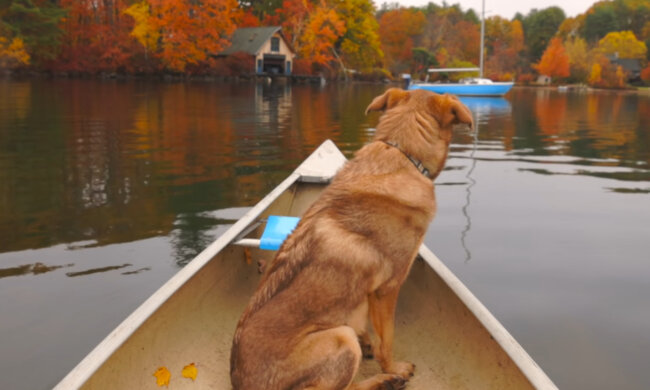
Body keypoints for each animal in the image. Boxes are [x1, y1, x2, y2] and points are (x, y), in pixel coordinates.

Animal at [229, 89, 470, 390]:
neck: (400, 151)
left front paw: (368, 340)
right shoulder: (387, 289)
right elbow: (387, 341)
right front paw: (394, 367)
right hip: (341, 339)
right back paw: (385, 380)